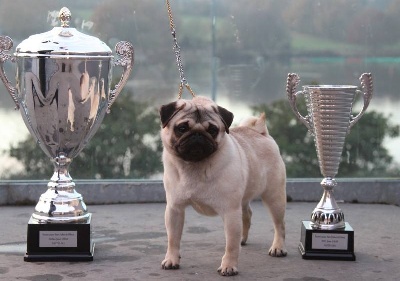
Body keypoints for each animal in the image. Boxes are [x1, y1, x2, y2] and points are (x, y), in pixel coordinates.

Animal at [158, 95, 286, 274]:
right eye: (182, 128)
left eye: (212, 130)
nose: (197, 135)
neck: (195, 166)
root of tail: (260, 132)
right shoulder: (174, 209)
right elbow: (173, 239)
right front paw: (171, 259)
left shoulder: (230, 212)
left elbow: (230, 245)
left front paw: (229, 266)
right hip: (244, 198)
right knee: (247, 214)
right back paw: (243, 239)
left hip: (274, 198)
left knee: (279, 225)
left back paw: (278, 247)